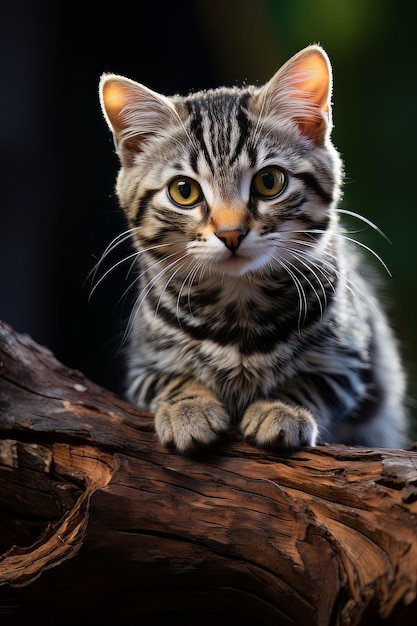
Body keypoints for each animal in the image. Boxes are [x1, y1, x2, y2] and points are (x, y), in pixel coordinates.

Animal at [99, 45, 404, 454]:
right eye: (184, 191)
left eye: (269, 182)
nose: (231, 233)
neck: (239, 302)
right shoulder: (143, 367)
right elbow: (173, 380)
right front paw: (187, 409)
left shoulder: (354, 363)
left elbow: (312, 383)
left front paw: (282, 409)